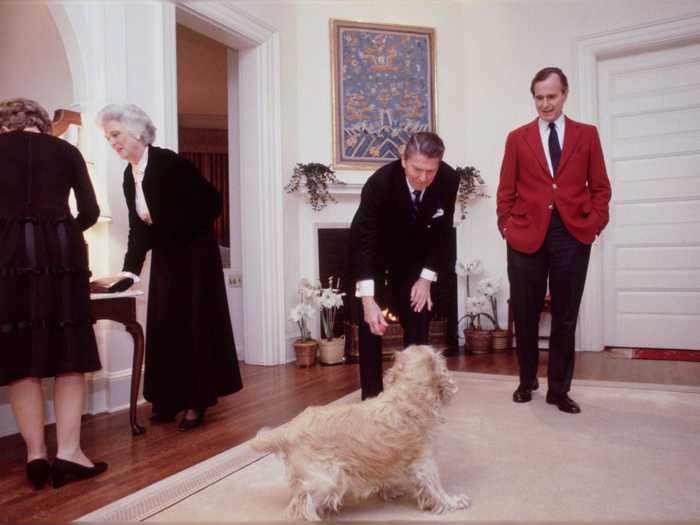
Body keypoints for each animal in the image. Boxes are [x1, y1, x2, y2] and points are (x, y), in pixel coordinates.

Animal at [250, 344, 470, 520]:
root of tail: (290, 429)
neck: (409, 393)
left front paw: (390, 491)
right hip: (328, 479)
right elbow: (436, 488)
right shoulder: (425, 460)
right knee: (301, 506)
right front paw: (454, 501)